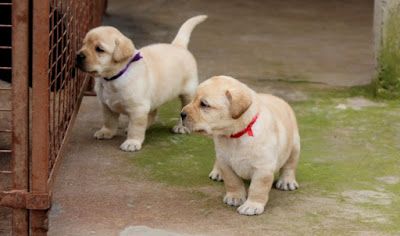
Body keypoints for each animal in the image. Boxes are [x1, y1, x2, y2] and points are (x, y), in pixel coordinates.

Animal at [76, 15, 206, 151]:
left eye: (99, 49)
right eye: (84, 44)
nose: (78, 56)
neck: (113, 77)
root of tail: (178, 46)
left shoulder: (138, 109)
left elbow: (136, 128)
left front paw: (132, 142)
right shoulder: (106, 105)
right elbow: (109, 120)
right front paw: (106, 132)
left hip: (188, 92)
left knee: (184, 110)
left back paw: (181, 127)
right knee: (152, 113)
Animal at [181, 76, 300, 216]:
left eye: (204, 104)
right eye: (193, 99)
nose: (181, 114)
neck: (235, 135)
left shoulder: (263, 168)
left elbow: (257, 188)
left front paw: (252, 205)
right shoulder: (226, 163)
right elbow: (233, 181)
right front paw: (235, 197)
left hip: (295, 146)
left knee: (289, 165)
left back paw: (287, 182)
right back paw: (217, 172)